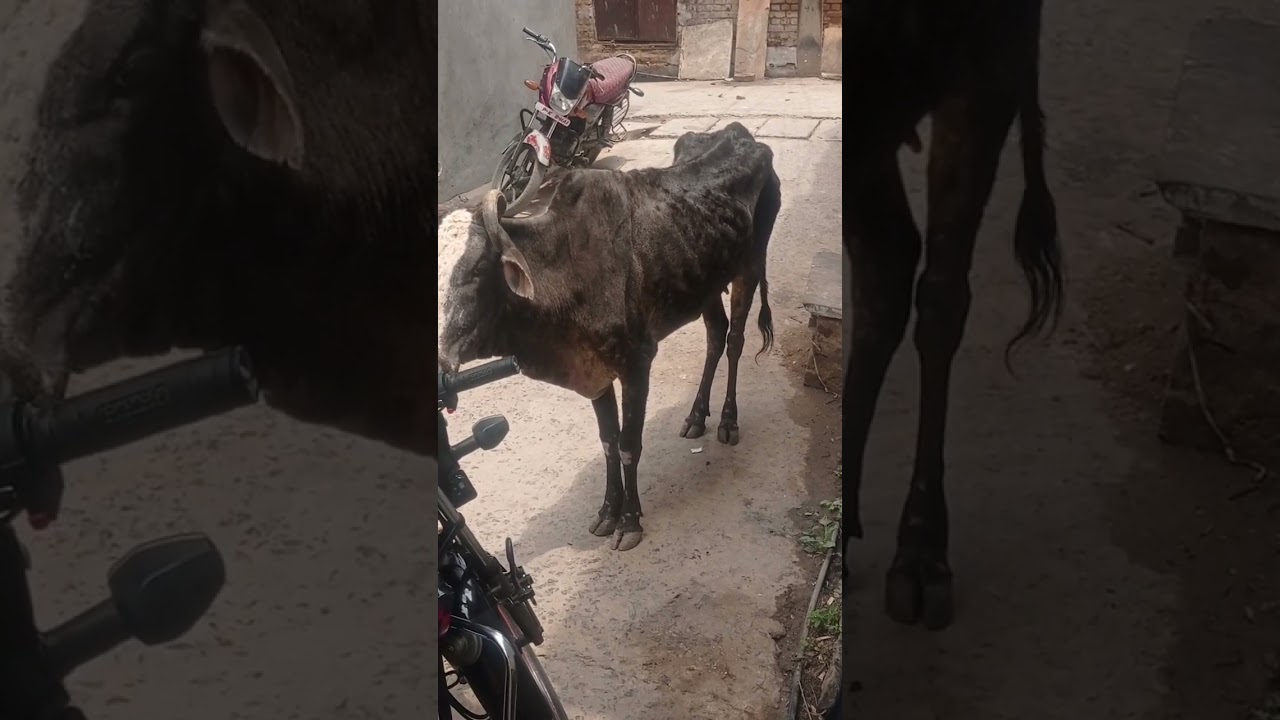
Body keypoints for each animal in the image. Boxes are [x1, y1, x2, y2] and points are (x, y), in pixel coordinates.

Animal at [438, 122, 781, 552]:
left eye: (478, 269)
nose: (441, 360)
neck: (567, 267)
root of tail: (743, 135)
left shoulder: (637, 364)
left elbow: (629, 444)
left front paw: (630, 521)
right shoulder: (594, 372)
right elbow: (607, 441)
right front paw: (606, 512)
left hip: (750, 266)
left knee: (734, 343)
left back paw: (727, 422)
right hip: (703, 283)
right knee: (716, 338)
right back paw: (696, 416)